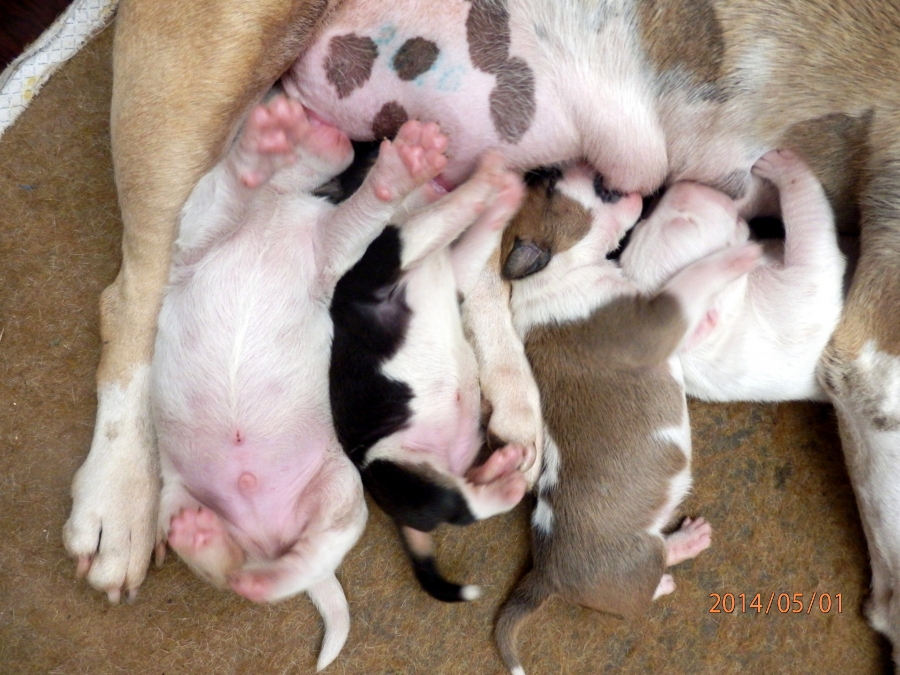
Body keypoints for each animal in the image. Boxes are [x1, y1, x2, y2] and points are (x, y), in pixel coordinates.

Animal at [150, 94, 450, 671]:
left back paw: (249, 567)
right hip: (177, 496)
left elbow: (361, 213)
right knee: (231, 570)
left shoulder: (331, 248)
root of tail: (267, 539)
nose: (310, 114)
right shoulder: (202, 226)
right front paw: (261, 143)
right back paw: (205, 542)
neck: (276, 202)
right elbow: (235, 183)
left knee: (291, 564)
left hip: (341, 495)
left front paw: (400, 167)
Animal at [328, 149, 529, 602]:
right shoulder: (382, 263)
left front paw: (506, 193)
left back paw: (497, 467)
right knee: (462, 508)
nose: (442, 179)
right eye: (369, 156)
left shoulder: (456, 270)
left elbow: (476, 234)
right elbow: (428, 221)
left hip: (452, 458)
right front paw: (485, 177)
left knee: (467, 486)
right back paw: (507, 485)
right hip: (403, 470)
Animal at [493, 166, 761, 675]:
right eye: (551, 187)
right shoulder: (656, 321)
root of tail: (545, 573)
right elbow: (692, 280)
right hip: (635, 562)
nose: (556, 167)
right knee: (642, 589)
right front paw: (739, 253)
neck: (556, 275)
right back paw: (677, 560)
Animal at [619, 149, 846, 402]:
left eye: (641, 223)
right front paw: (784, 167)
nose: (679, 183)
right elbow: (813, 241)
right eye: (685, 223)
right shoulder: (791, 307)